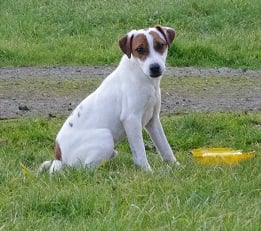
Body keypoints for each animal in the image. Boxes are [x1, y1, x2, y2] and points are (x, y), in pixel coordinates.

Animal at [40, 25, 179, 173]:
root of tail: (59, 158)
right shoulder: (131, 119)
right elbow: (140, 152)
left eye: (160, 45)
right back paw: (114, 172)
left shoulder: (153, 120)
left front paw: (176, 167)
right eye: (139, 49)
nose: (155, 67)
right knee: (86, 169)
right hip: (105, 137)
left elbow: (165, 148)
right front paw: (147, 172)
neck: (141, 76)